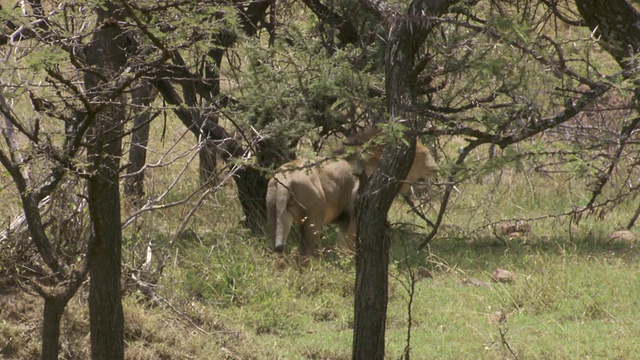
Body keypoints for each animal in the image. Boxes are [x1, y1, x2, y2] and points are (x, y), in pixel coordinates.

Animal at [264, 131, 436, 258]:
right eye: (425, 154)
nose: (435, 168)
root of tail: (286, 176)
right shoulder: (353, 216)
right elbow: (349, 249)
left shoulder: (343, 221)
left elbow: (342, 248)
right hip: (313, 219)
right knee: (304, 255)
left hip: (276, 213)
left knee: (278, 252)